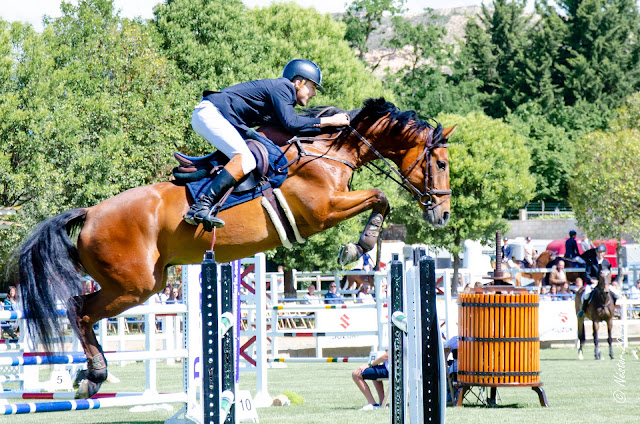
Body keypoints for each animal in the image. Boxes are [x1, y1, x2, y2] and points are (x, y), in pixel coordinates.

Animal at [13, 97, 456, 400]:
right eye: (441, 164)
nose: (443, 215)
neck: (331, 152)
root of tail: (90, 213)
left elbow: (380, 199)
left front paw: (360, 245)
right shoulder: (323, 211)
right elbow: (381, 196)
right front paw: (357, 245)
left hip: (147, 284)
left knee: (80, 309)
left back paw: (89, 377)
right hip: (132, 286)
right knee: (79, 310)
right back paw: (94, 377)